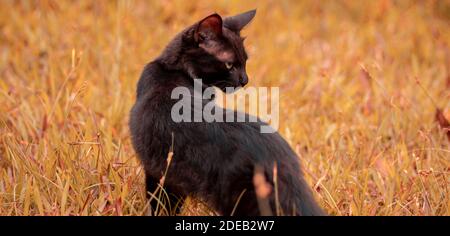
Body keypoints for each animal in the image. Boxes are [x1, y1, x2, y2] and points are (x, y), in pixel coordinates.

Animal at [128, 9, 326, 216]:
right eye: (230, 64)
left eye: (245, 62)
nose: (245, 80)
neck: (173, 69)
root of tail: (275, 156)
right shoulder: (170, 175)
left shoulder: (157, 171)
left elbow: (160, 204)